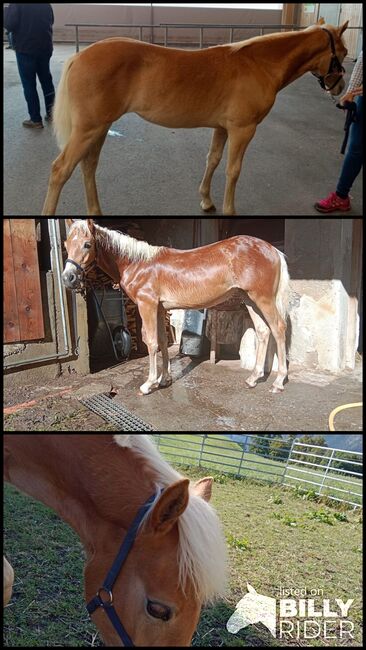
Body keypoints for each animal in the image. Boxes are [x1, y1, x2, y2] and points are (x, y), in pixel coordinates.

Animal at [41, 20, 348, 215]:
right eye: (343, 53)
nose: (340, 89)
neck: (259, 64)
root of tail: (80, 57)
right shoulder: (243, 129)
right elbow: (233, 170)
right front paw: (229, 210)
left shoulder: (222, 128)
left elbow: (212, 160)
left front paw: (207, 202)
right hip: (88, 129)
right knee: (60, 169)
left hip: (100, 128)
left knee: (88, 166)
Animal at [63, 218, 290, 392]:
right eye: (65, 245)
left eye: (87, 244)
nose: (68, 278)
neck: (137, 263)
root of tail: (272, 250)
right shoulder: (159, 308)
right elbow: (163, 342)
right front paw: (165, 380)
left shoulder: (147, 305)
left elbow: (151, 342)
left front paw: (149, 384)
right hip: (250, 299)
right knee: (263, 331)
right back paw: (253, 378)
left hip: (262, 299)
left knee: (278, 329)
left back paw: (278, 382)